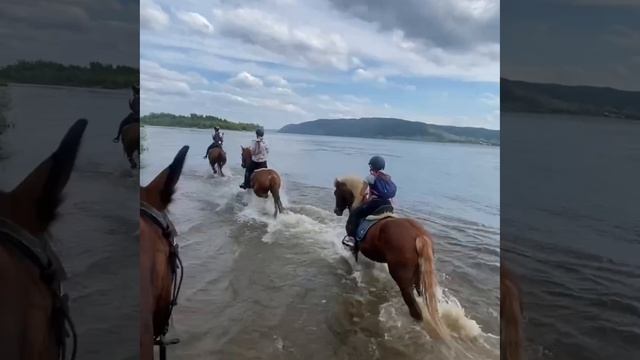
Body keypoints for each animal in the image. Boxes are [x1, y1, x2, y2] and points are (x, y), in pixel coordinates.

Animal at [332, 177, 448, 340]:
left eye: (337, 192)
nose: (336, 211)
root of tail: (418, 235)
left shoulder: (355, 246)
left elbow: (354, 257)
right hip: (418, 277)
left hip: (402, 278)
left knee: (415, 309)